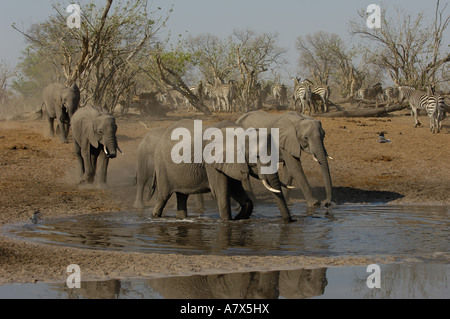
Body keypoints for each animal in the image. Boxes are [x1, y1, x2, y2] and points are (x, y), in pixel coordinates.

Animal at [149, 119, 294, 222]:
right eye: (257, 156)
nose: (291, 221)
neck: (241, 133)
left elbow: (236, 189)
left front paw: (238, 218)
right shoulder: (212, 161)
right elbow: (220, 191)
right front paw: (227, 221)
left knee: (182, 196)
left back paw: (182, 218)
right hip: (162, 166)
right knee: (163, 196)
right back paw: (155, 217)